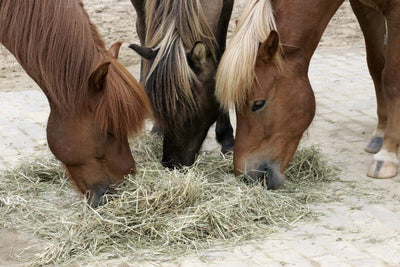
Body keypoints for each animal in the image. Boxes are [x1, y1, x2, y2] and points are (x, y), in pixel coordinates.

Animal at [217, 0, 398, 188]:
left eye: (258, 104)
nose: (245, 177)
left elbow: (391, 78)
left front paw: (387, 154)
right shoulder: (364, 10)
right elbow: (377, 65)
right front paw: (380, 133)